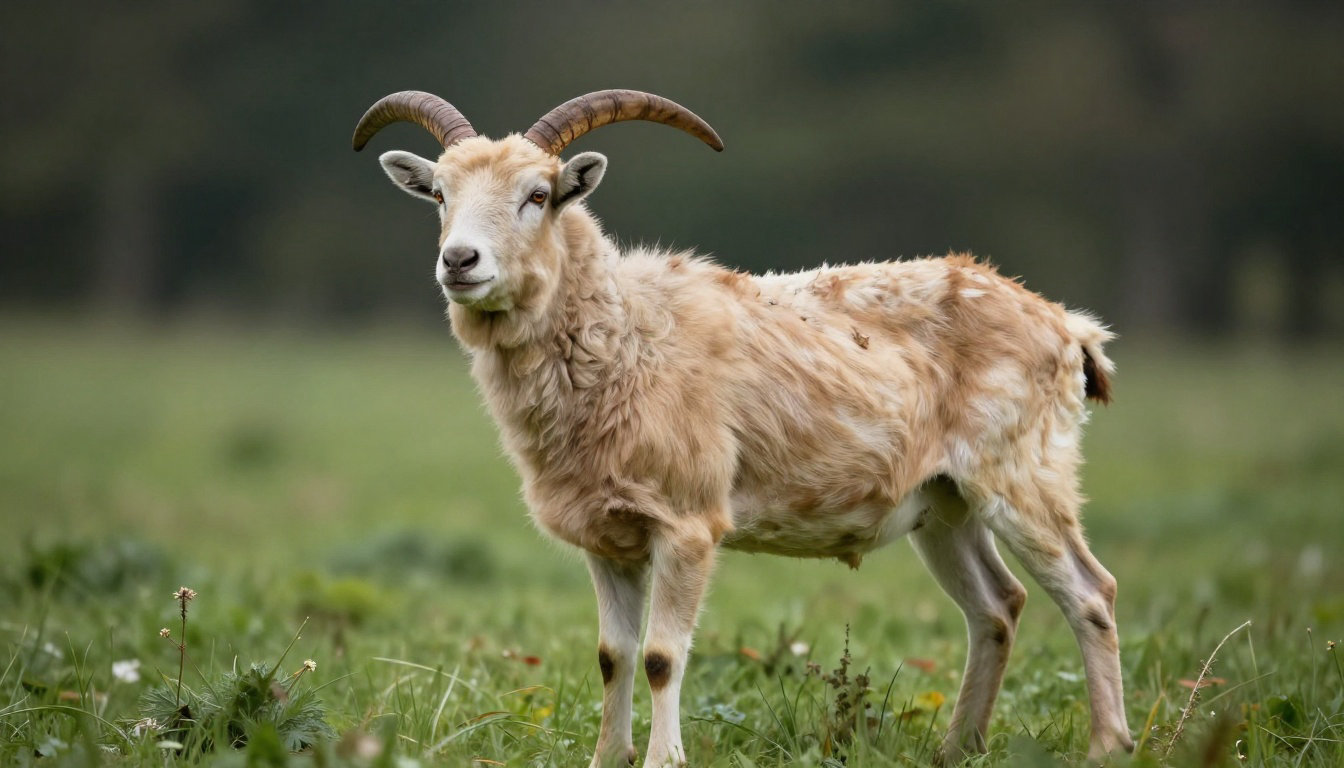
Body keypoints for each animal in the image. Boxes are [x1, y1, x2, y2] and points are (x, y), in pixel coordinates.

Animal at [352, 89, 1134, 766]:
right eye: (440, 195)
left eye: (538, 196)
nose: (459, 261)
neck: (630, 337)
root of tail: (1070, 328)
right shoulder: (606, 535)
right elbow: (612, 656)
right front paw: (608, 757)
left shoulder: (687, 523)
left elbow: (662, 655)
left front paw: (663, 760)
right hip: (945, 504)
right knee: (998, 607)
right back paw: (958, 748)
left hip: (1023, 472)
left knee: (1090, 593)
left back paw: (1107, 745)